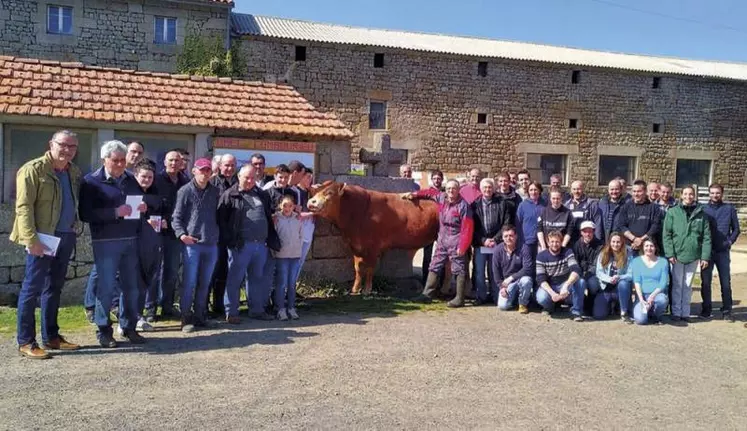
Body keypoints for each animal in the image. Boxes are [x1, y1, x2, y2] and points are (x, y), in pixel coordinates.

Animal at [308, 181, 442, 296]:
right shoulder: (356, 246)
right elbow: (358, 268)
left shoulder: (373, 248)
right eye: (315, 191)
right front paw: (355, 289)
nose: (311, 202)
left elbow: (370, 268)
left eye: (330, 192)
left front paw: (367, 290)